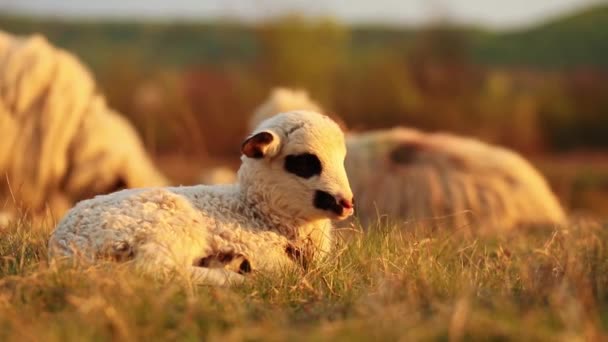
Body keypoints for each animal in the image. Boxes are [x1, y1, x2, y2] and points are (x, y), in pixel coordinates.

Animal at [48, 111, 356, 286]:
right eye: (304, 162)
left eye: (342, 158)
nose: (346, 203)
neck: (256, 212)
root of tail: (63, 245)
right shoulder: (268, 256)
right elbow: (286, 272)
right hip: (166, 229)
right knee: (153, 270)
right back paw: (232, 275)